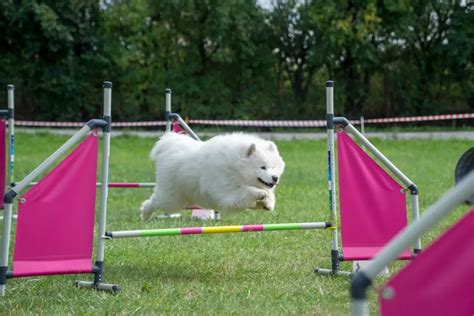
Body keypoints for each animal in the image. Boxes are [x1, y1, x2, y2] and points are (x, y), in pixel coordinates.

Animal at [139, 133, 284, 220]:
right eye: (262, 167)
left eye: (274, 167)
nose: (275, 178)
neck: (236, 165)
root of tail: (168, 146)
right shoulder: (227, 192)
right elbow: (247, 190)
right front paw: (260, 193)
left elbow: (264, 196)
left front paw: (268, 203)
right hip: (172, 199)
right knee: (152, 201)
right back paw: (145, 214)